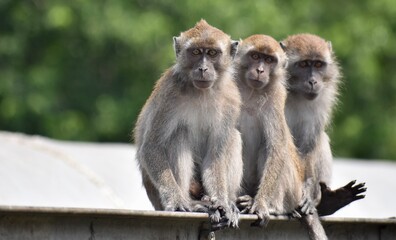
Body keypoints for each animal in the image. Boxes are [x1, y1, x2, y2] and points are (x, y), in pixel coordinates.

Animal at [135, 20, 243, 229]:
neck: (202, 92)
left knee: (233, 136)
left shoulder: (231, 100)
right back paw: (192, 202)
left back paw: (226, 202)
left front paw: (223, 203)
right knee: (178, 134)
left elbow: (215, 155)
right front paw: (177, 200)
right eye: (196, 52)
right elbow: (152, 146)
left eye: (212, 53)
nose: (203, 69)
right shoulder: (169, 93)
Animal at [232, 34, 328, 240]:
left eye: (269, 60)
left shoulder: (275, 100)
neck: (252, 93)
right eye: (255, 56)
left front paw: (261, 205)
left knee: (270, 150)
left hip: (293, 191)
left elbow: (276, 148)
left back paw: (273, 207)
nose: (260, 70)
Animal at [280, 33, 366, 216]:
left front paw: (305, 193)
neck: (294, 94)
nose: (313, 81)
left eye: (318, 64)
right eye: (304, 64)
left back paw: (327, 204)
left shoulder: (319, 105)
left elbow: (307, 147)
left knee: (321, 140)